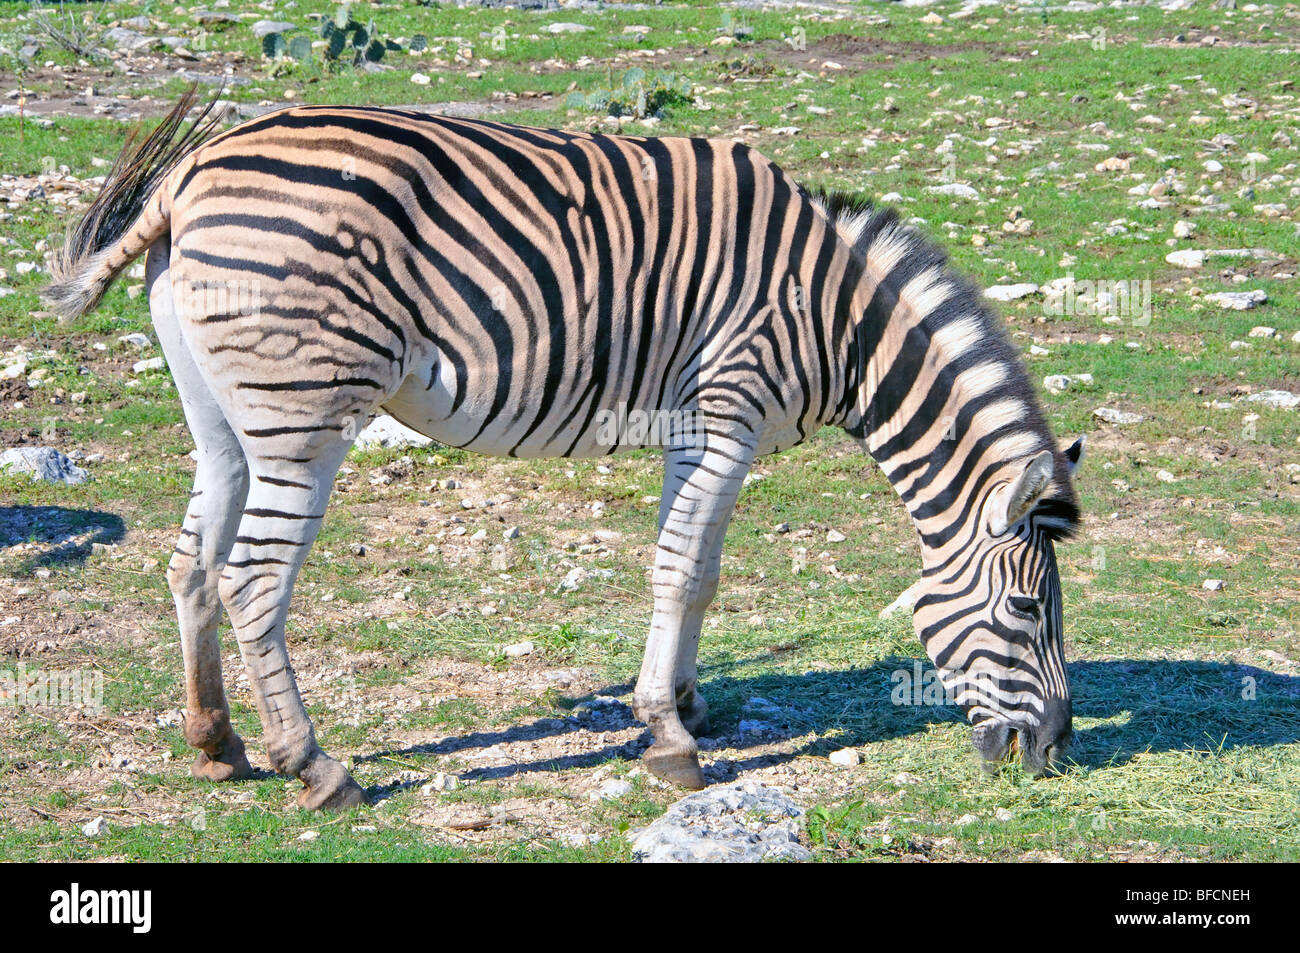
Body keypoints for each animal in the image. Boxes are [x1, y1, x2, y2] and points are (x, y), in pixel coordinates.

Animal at [45, 89, 1086, 806]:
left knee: (191, 562)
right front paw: (670, 737)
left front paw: (689, 701)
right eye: (1030, 609)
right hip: (306, 412)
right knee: (251, 579)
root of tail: (189, 175)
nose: (1055, 751)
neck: (837, 322)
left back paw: (216, 742)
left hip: (226, 417)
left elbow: (700, 570)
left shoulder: (700, 428)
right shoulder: (726, 410)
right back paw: (316, 765)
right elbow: (679, 569)